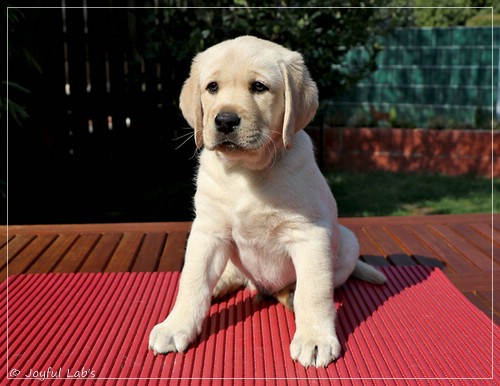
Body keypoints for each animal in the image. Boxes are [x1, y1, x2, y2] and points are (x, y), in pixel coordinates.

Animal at [148, 36, 386, 368]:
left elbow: (314, 292)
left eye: (259, 87)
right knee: (231, 275)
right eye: (212, 87)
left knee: (308, 285)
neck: (245, 171)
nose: (225, 120)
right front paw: (175, 326)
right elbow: (192, 281)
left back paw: (289, 296)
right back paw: (220, 283)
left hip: (347, 241)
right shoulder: (208, 230)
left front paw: (315, 338)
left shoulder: (310, 234)